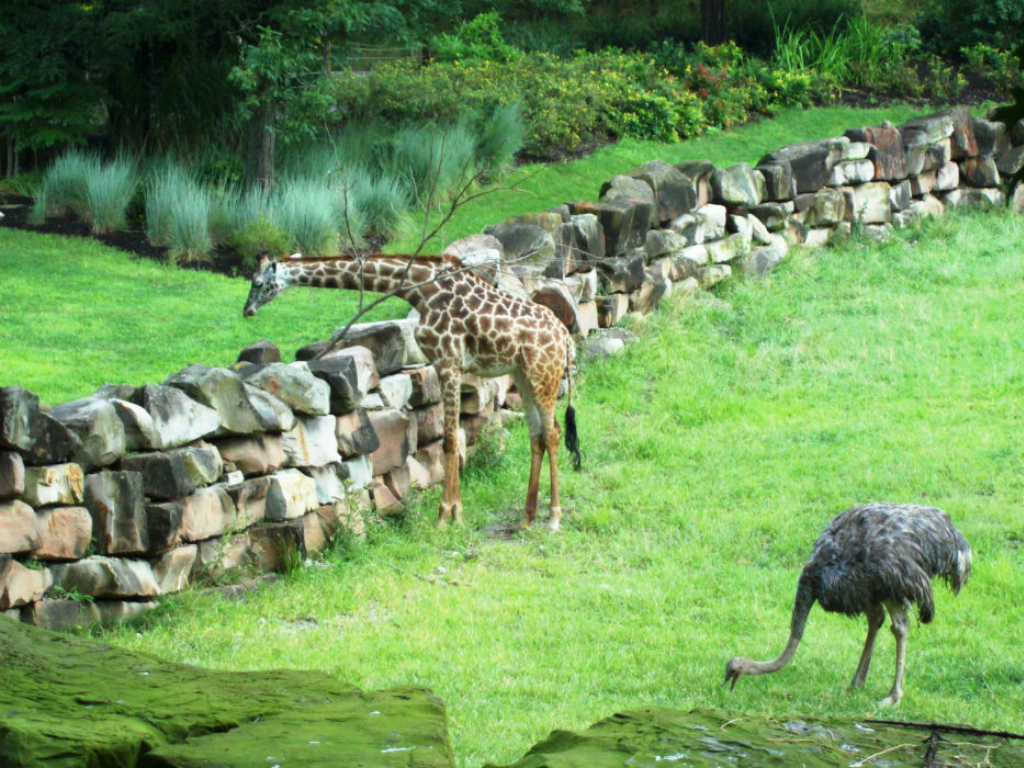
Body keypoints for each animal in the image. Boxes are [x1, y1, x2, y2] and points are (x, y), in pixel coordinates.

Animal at [237, 256, 577, 532]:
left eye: (258, 282)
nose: (247, 310)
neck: (420, 290)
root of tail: (565, 338)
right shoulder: (444, 364)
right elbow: (452, 438)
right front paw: (454, 513)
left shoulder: (449, 361)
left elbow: (450, 439)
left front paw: (447, 516)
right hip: (524, 375)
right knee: (538, 435)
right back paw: (527, 518)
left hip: (542, 373)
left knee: (552, 433)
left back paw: (554, 518)